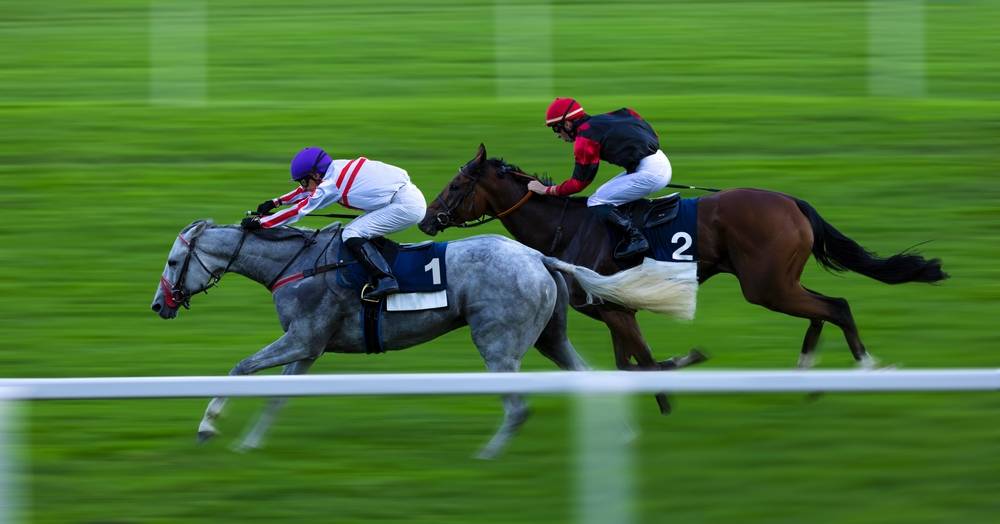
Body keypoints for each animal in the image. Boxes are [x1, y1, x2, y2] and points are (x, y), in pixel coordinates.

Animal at [147, 219, 584, 456]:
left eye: (172, 261)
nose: (158, 305)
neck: (298, 265)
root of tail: (537, 257)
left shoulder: (303, 338)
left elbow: (239, 369)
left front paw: (208, 427)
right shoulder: (308, 347)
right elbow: (277, 396)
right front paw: (248, 445)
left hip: (498, 347)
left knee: (517, 408)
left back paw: (486, 455)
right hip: (551, 338)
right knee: (580, 372)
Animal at [418, 143, 948, 378]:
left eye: (457, 184)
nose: (426, 219)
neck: (569, 225)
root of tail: (791, 201)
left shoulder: (613, 306)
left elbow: (644, 363)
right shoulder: (615, 310)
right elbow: (629, 363)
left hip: (765, 285)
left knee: (835, 305)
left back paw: (864, 364)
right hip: (779, 283)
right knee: (823, 307)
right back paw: (806, 361)